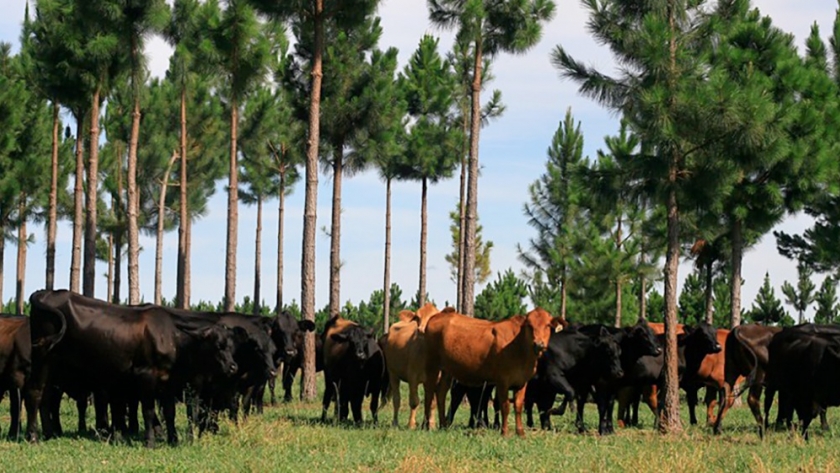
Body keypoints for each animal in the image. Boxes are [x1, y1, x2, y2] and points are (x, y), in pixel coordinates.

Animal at [420, 306, 564, 436]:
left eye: (548, 325)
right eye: (529, 326)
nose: (539, 344)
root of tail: (439, 315)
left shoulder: (522, 382)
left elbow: (518, 406)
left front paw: (520, 432)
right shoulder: (502, 381)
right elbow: (505, 406)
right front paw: (505, 432)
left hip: (447, 370)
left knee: (441, 393)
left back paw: (443, 425)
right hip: (432, 366)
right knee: (429, 393)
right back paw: (426, 425)